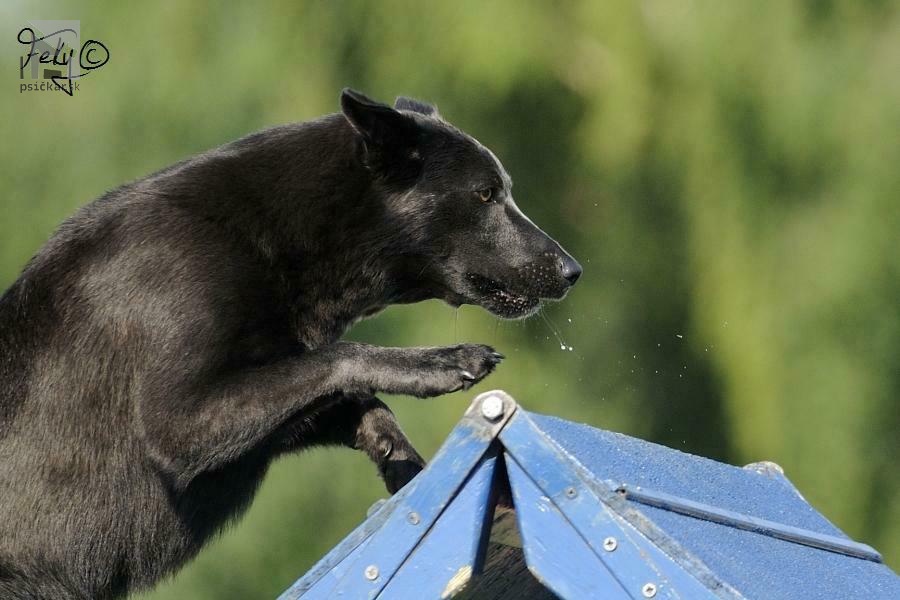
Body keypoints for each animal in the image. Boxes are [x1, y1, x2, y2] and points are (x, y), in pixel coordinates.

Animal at [0, 89, 580, 600]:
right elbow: (341, 357)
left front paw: (406, 464)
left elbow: (349, 397)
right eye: (485, 194)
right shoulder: (179, 421)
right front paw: (442, 364)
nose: (573, 271)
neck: (269, 236)